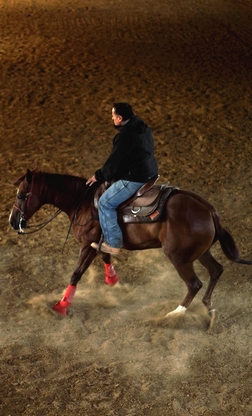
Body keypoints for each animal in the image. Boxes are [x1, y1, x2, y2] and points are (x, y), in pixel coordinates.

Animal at [8, 167, 251, 320]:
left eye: (21, 195)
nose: (12, 221)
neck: (82, 202)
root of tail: (209, 209)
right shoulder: (99, 242)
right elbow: (106, 255)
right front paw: (113, 282)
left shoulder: (87, 245)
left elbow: (76, 274)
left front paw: (62, 305)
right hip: (200, 252)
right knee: (216, 270)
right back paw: (209, 309)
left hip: (179, 257)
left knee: (194, 283)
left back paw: (175, 314)